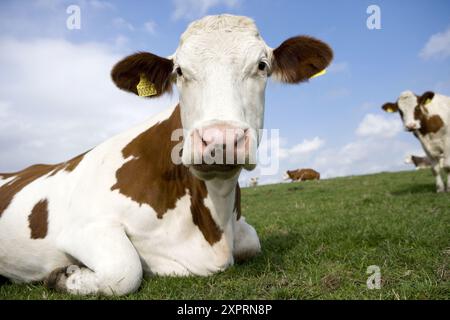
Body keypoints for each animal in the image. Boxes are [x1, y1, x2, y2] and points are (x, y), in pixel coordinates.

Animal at [0, 15, 332, 296]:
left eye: (262, 65)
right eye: (179, 71)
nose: (221, 140)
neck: (213, 227)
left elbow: (252, 242)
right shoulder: (82, 226)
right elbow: (124, 270)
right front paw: (63, 275)